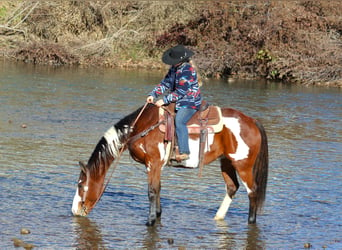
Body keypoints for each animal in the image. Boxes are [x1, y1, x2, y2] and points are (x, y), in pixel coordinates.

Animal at [72, 102, 268, 226]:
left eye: (81, 185)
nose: (75, 211)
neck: (143, 127)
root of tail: (252, 121)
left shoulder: (153, 163)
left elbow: (151, 191)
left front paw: (150, 221)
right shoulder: (155, 166)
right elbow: (158, 188)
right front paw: (158, 215)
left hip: (243, 165)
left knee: (252, 191)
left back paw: (250, 221)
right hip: (226, 162)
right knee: (232, 187)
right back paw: (218, 217)